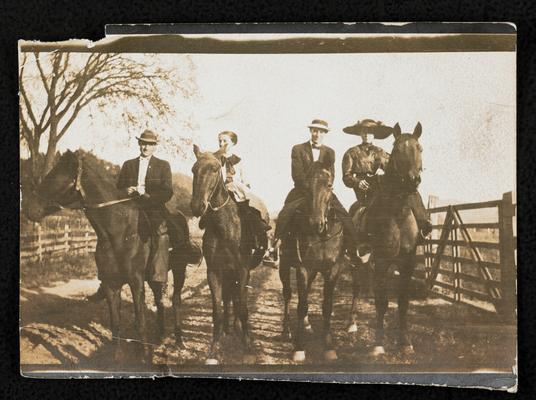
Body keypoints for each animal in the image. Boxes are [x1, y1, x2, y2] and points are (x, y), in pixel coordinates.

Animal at [191, 145, 260, 366]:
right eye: (194, 169)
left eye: (214, 168)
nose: (197, 206)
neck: (225, 227)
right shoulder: (214, 272)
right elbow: (218, 311)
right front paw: (214, 348)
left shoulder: (242, 270)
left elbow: (244, 307)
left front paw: (248, 346)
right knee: (230, 298)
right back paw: (230, 328)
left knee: (238, 299)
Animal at [366, 122, 426, 356]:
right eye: (398, 149)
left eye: (419, 148)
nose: (413, 180)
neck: (398, 213)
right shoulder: (382, 262)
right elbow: (382, 302)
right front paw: (378, 343)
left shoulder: (407, 263)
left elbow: (402, 301)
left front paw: (405, 341)